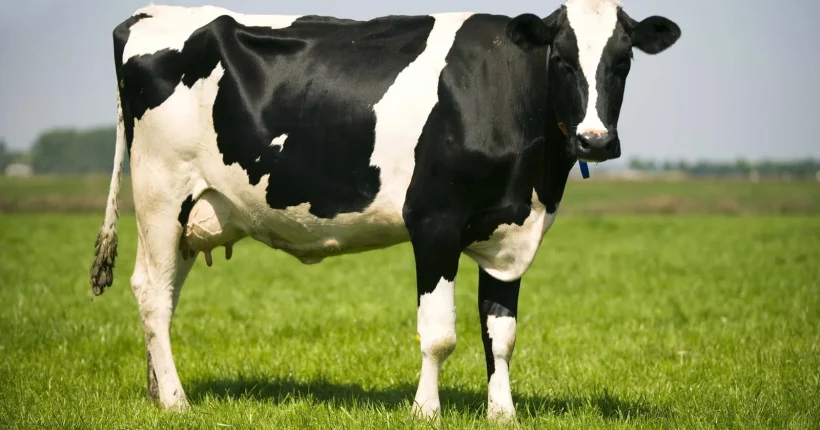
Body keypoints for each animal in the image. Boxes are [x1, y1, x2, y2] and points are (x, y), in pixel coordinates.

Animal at [90, 0, 680, 422]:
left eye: (623, 61)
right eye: (561, 58)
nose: (594, 140)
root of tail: (148, 14)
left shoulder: (511, 230)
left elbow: (501, 332)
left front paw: (503, 414)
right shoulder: (434, 221)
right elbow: (439, 332)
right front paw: (426, 411)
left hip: (194, 211)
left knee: (165, 294)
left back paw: (157, 392)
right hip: (161, 191)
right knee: (151, 293)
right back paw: (176, 402)